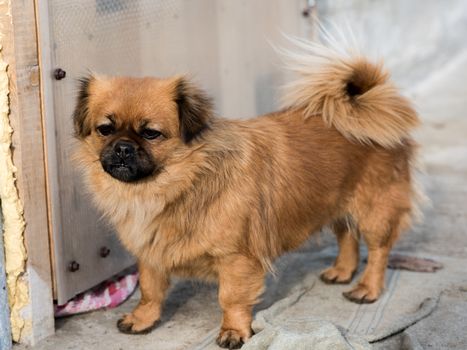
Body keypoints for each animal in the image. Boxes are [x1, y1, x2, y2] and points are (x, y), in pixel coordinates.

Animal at [72, 40, 420, 348]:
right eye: (105, 129)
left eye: (150, 134)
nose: (122, 147)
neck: (172, 187)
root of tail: (366, 104)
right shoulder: (150, 253)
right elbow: (150, 290)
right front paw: (143, 319)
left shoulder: (237, 259)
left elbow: (231, 297)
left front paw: (234, 332)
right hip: (334, 202)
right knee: (347, 236)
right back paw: (342, 272)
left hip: (375, 211)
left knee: (377, 251)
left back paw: (367, 288)